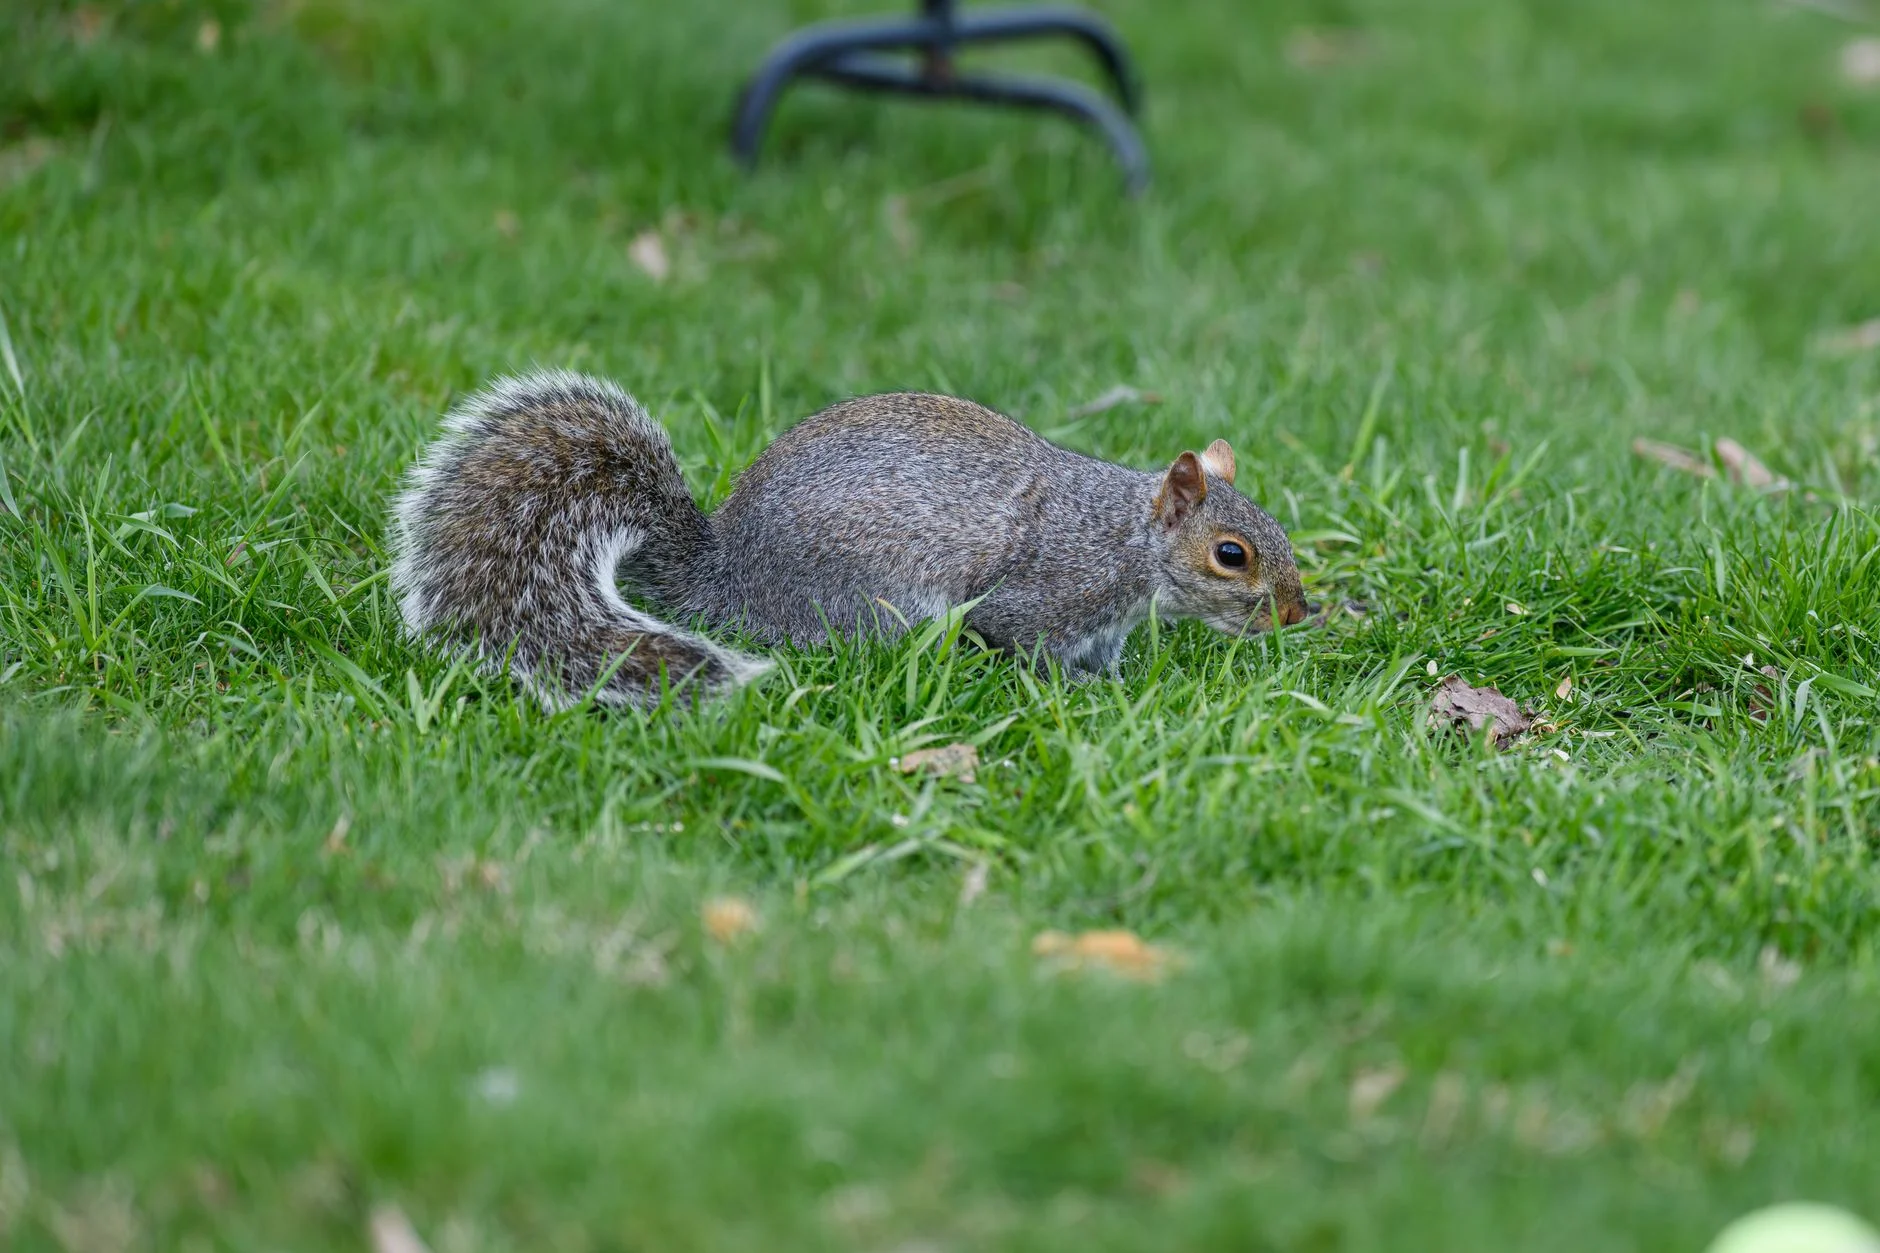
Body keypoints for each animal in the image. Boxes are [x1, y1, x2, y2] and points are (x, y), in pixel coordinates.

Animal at [390, 370, 1310, 709]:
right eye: (1232, 553)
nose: (1300, 614)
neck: (1125, 540)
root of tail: (725, 578)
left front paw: (1116, 680)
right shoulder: (1049, 588)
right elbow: (1024, 639)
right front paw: (1082, 691)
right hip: (879, 599)